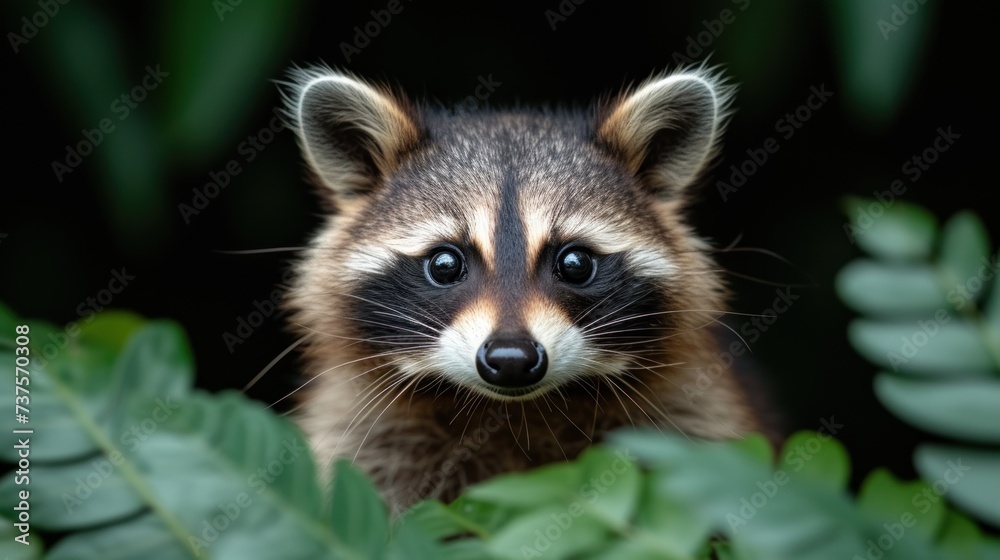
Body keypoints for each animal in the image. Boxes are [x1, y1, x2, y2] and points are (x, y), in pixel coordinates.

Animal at [282, 65, 764, 512]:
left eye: (575, 264)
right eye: (444, 265)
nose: (511, 358)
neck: (514, 412)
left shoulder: (691, 421)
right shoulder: (365, 439)